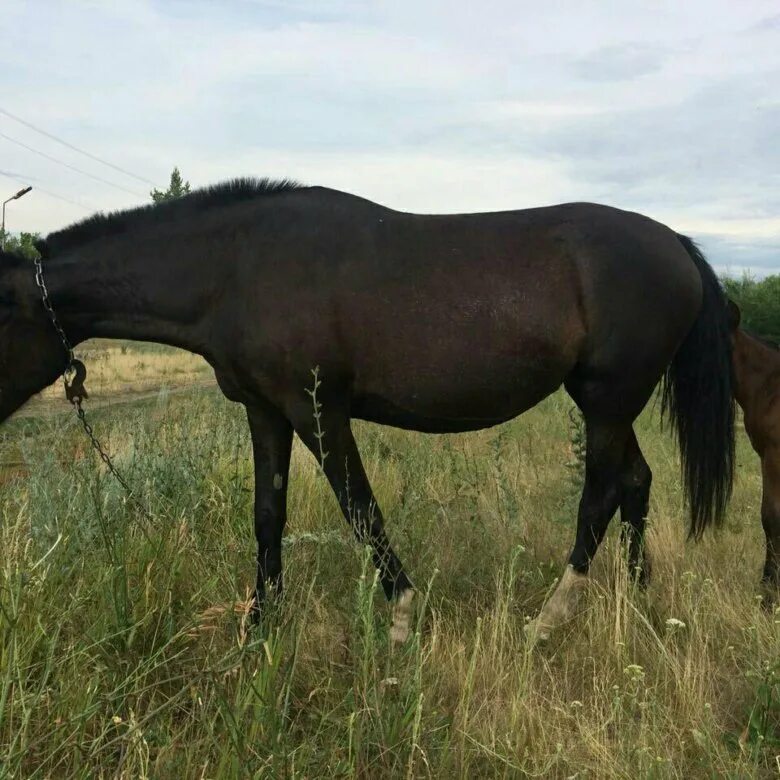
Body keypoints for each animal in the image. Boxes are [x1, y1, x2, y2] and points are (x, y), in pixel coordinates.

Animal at [0, 180, 736, 644]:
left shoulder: (317, 411)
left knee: (600, 495)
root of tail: (676, 243)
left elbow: (360, 508)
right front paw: (257, 629)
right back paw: (639, 604)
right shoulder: (266, 411)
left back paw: (549, 621)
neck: (238, 267)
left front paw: (403, 618)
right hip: (608, 404)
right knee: (635, 482)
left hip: (608, 401)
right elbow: (268, 516)